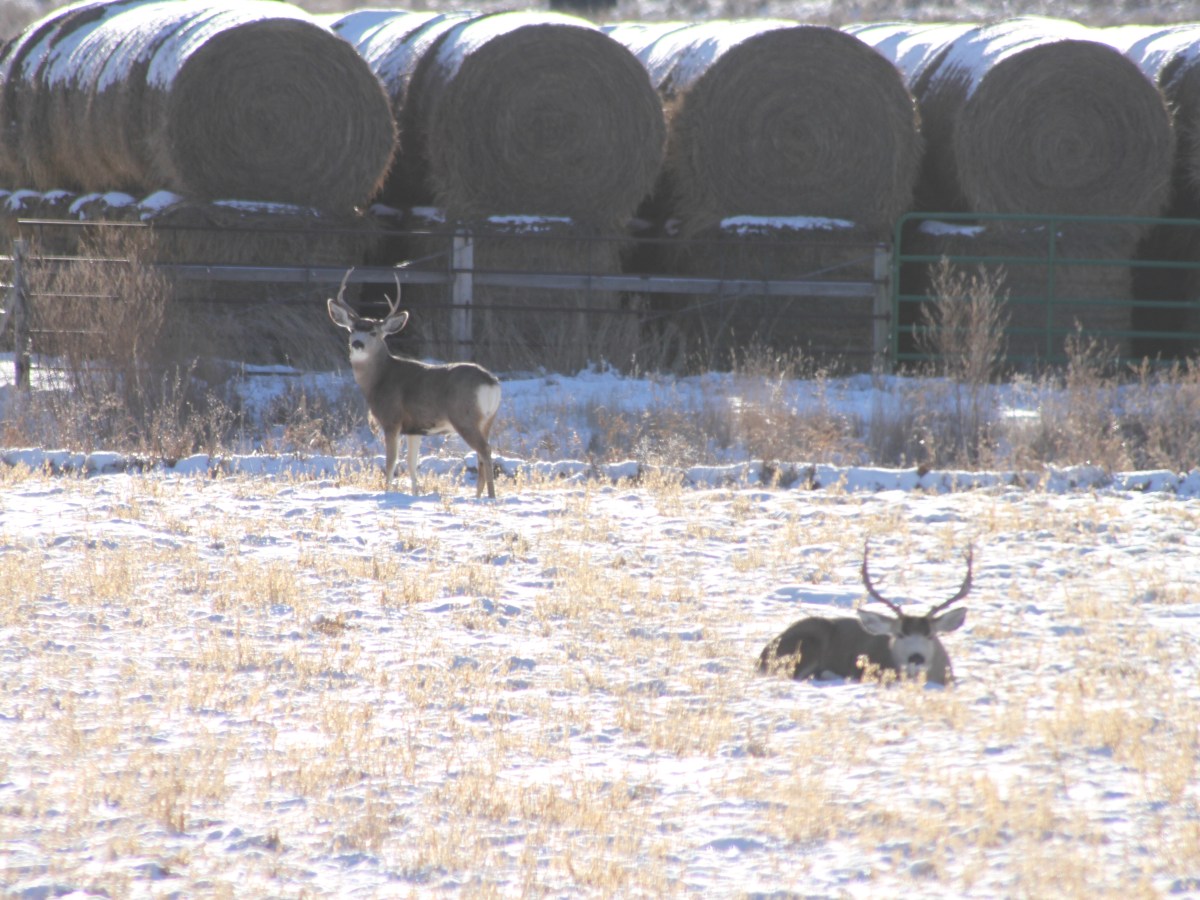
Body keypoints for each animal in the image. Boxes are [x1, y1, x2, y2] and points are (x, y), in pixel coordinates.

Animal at [327, 272, 501, 498]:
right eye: (352, 330)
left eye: (374, 332)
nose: (357, 343)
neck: (379, 379)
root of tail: (490, 382)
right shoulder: (415, 429)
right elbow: (411, 464)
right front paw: (415, 494)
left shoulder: (392, 420)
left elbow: (391, 462)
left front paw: (387, 492)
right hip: (488, 420)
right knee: (482, 452)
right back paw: (478, 496)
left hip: (464, 418)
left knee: (485, 450)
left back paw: (491, 496)